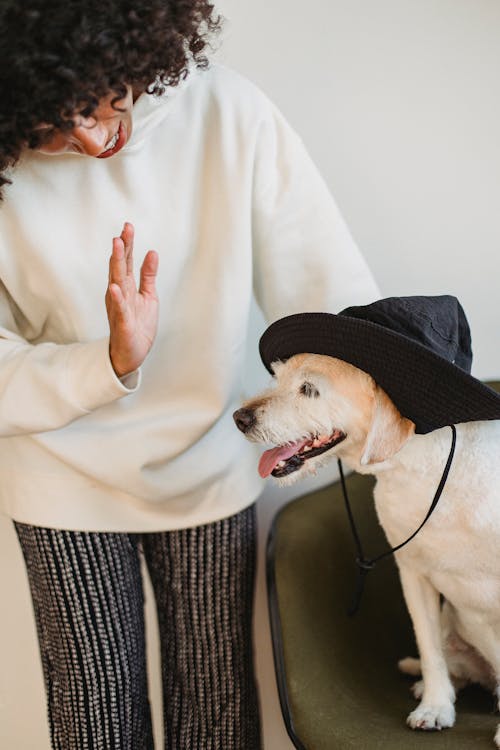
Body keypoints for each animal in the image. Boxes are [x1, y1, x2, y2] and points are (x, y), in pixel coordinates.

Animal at [233, 356, 500, 748]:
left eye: (309, 388)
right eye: (277, 378)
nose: (240, 418)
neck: (426, 472)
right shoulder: (412, 573)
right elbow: (429, 647)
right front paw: (435, 706)